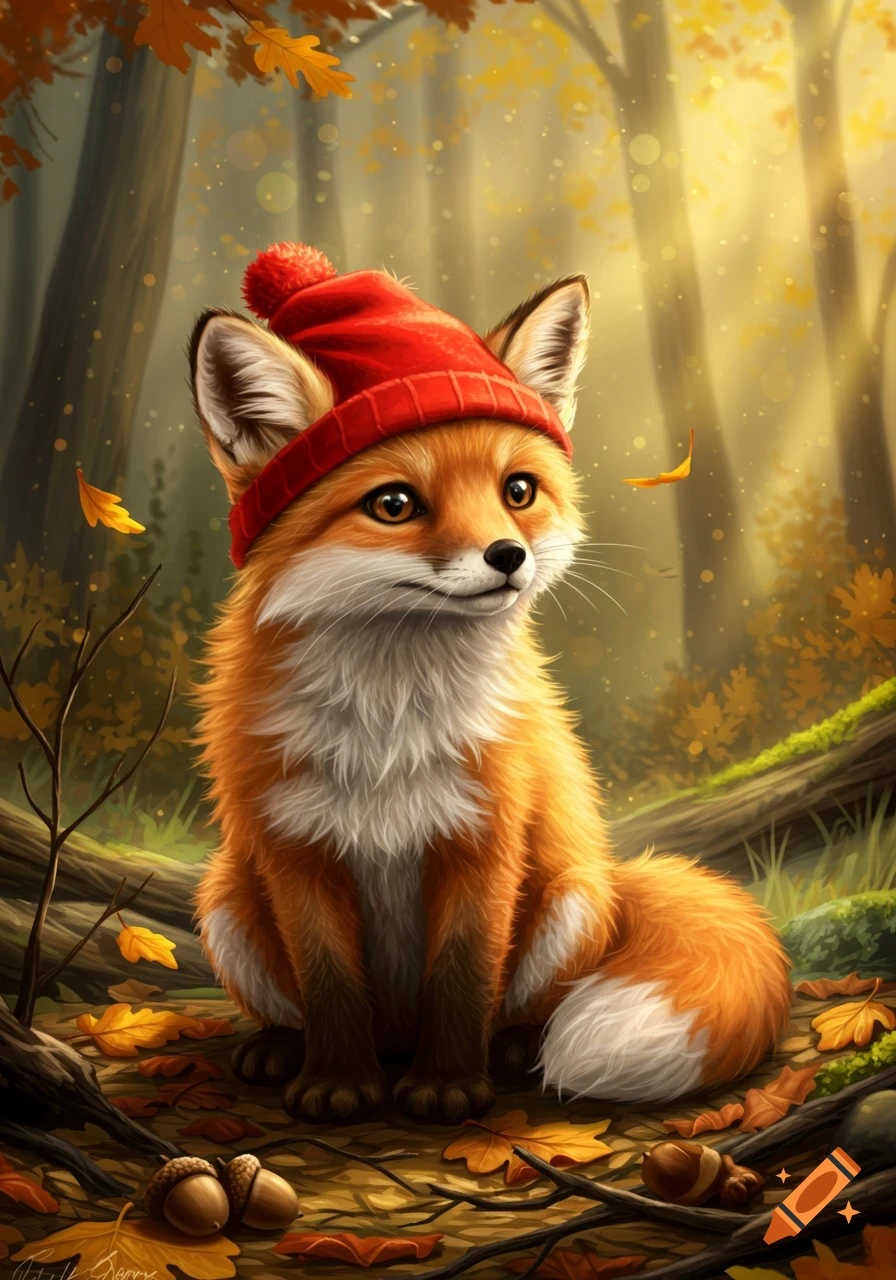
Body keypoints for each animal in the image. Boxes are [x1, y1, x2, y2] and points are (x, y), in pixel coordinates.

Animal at [189, 242, 792, 1125]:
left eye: (518, 491)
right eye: (394, 503)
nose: (508, 556)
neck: (389, 722)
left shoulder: (483, 837)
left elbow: (462, 974)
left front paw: (447, 1086)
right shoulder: (296, 847)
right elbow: (330, 984)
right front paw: (336, 1083)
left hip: (568, 897)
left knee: (527, 1004)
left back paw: (509, 1050)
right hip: (228, 897)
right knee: (293, 1001)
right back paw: (278, 1048)